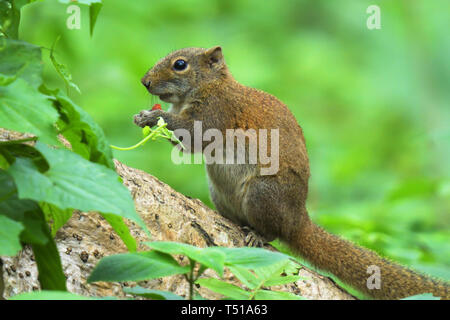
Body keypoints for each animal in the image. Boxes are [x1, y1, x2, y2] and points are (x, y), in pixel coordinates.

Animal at [134, 45, 450, 300]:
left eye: (180, 64)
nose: (144, 81)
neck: (209, 87)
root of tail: (298, 220)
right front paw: (143, 116)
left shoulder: (215, 113)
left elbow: (192, 137)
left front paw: (153, 116)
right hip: (219, 192)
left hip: (263, 194)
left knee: (274, 233)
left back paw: (258, 236)